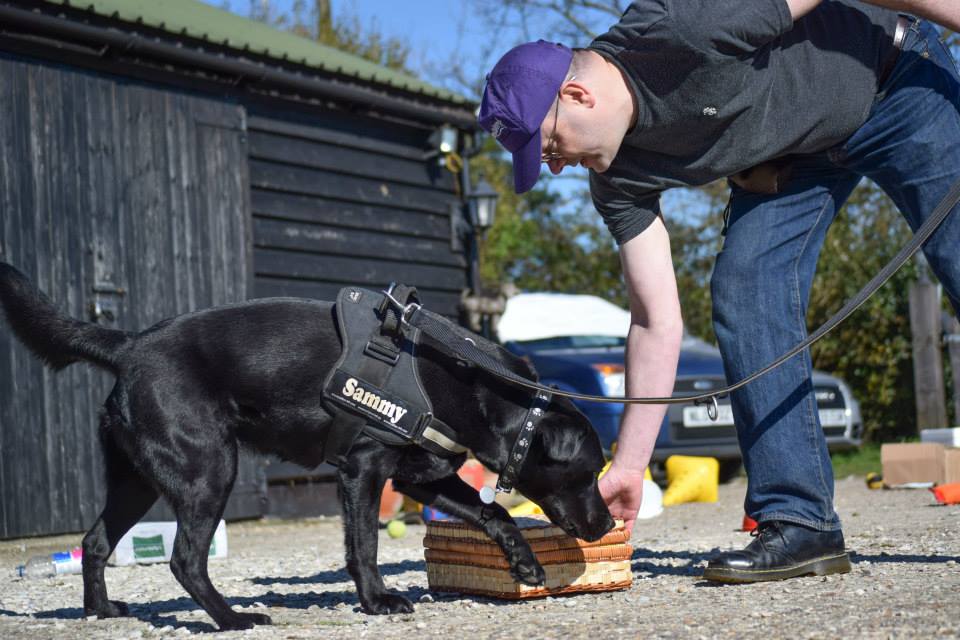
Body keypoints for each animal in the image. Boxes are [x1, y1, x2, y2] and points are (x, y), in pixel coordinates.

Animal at [0, 262, 612, 632]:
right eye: (589, 472)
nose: (608, 523)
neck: (466, 380)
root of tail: (130, 346)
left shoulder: (423, 475)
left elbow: (493, 513)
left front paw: (525, 562)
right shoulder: (363, 471)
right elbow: (364, 545)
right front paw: (378, 601)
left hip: (137, 482)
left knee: (96, 542)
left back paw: (101, 610)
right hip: (208, 471)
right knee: (184, 558)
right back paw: (232, 619)